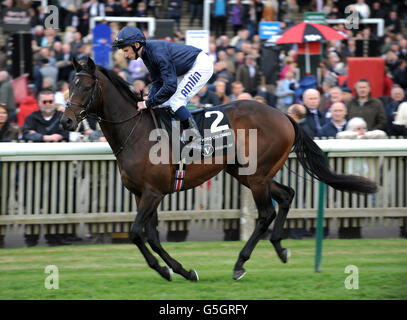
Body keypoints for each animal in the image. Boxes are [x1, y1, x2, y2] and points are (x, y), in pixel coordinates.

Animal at [61, 58, 380, 282]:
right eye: (69, 85)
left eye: (86, 87)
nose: (65, 121)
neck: (136, 131)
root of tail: (284, 115)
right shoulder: (143, 194)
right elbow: (150, 236)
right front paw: (177, 270)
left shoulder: (153, 193)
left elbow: (137, 233)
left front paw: (170, 270)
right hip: (246, 173)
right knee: (286, 195)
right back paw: (280, 248)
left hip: (257, 175)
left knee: (267, 212)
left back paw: (240, 264)